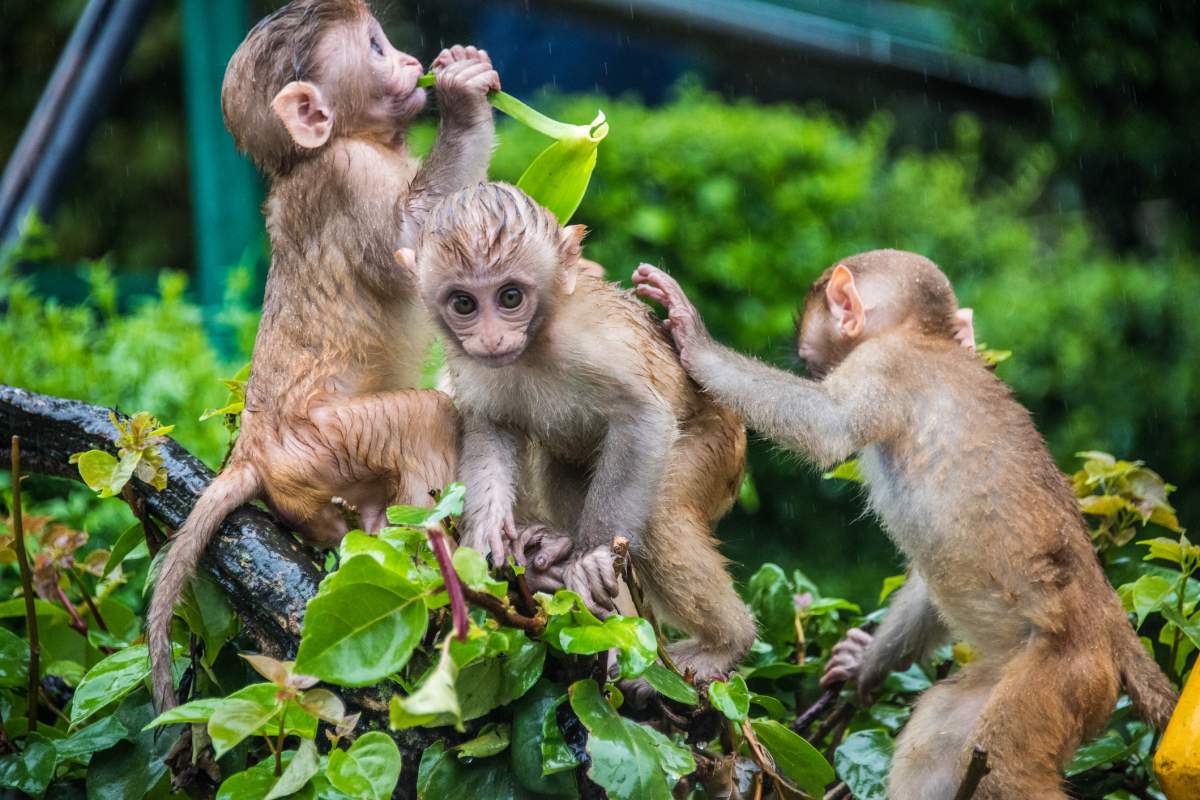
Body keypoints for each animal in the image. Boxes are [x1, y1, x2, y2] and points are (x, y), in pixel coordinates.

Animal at [147, 0, 501, 710]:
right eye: (375, 48)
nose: (411, 61)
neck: (347, 143)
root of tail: (254, 451)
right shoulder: (346, 180)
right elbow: (411, 241)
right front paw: (461, 96)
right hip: (325, 442)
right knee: (426, 419)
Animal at [396, 181, 757, 684]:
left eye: (510, 297)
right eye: (464, 303)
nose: (491, 339)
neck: (535, 343)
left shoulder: (587, 342)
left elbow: (643, 415)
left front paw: (590, 558)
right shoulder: (469, 363)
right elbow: (491, 425)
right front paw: (487, 529)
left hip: (718, 446)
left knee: (660, 512)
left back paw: (724, 645)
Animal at [632, 251, 1178, 799]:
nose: (812, 363)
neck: (926, 337)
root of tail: (1109, 621)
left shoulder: (885, 362)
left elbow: (828, 426)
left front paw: (694, 337)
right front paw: (864, 664)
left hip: (1065, 674)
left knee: (1003, 764)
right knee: (939, 739)